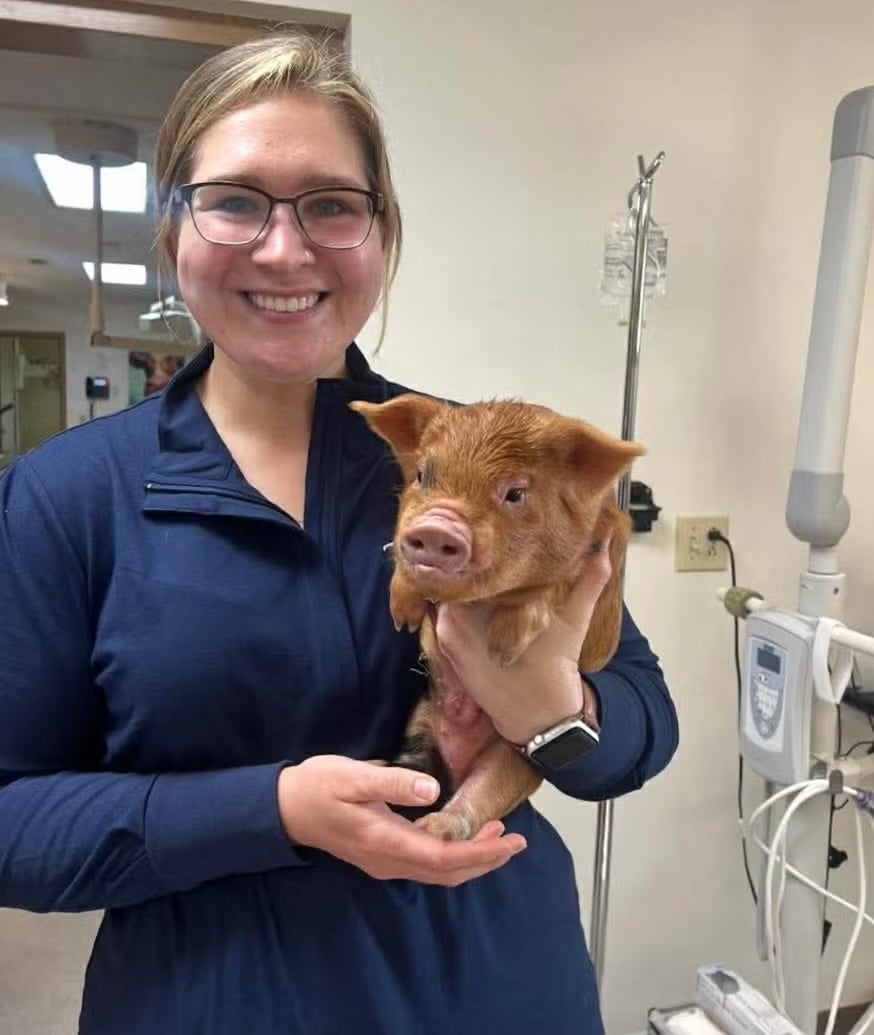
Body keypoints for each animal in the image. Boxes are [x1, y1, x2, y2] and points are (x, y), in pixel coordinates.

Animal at [350, 393, 644, 841]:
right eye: (421, 474)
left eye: (516, 493)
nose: (437, 527)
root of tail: (457, 764)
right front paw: (403, 616)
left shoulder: (600, 555)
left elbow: (548, 590)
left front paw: (504, 647)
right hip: (421, 727)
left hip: (514, 762)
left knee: (473, 802)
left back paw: (433, 829)